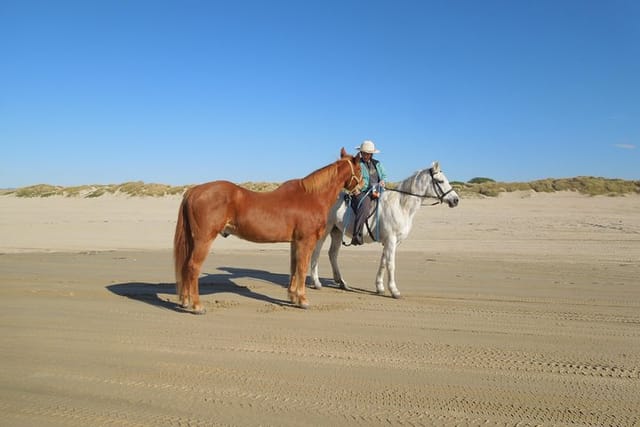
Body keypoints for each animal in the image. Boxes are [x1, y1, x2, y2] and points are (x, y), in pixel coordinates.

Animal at [172, 149, 362, 312]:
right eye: (360, 170)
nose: (361, 188)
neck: (311, 196)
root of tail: (194, 190)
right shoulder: (305, 241)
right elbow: (302, 269)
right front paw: (303, 300)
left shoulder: (295, 242)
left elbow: (293, 268)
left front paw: (292, 297)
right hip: (203, 240)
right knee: (193, 267)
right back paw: (197, 306)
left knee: (185, 266)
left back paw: (185, 301)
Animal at [310, 162, 460, 300]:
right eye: (440, 181)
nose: (456, 200)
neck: (401, 206)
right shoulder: (391, 240)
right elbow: (391, 264)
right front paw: (394, 290)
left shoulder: (391, 242)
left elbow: (383, 263)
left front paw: (380, 287)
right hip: (325, 231)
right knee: (316, 253)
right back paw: (316, 282)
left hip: (336, 231)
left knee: (332, 254)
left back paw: (341, 282)